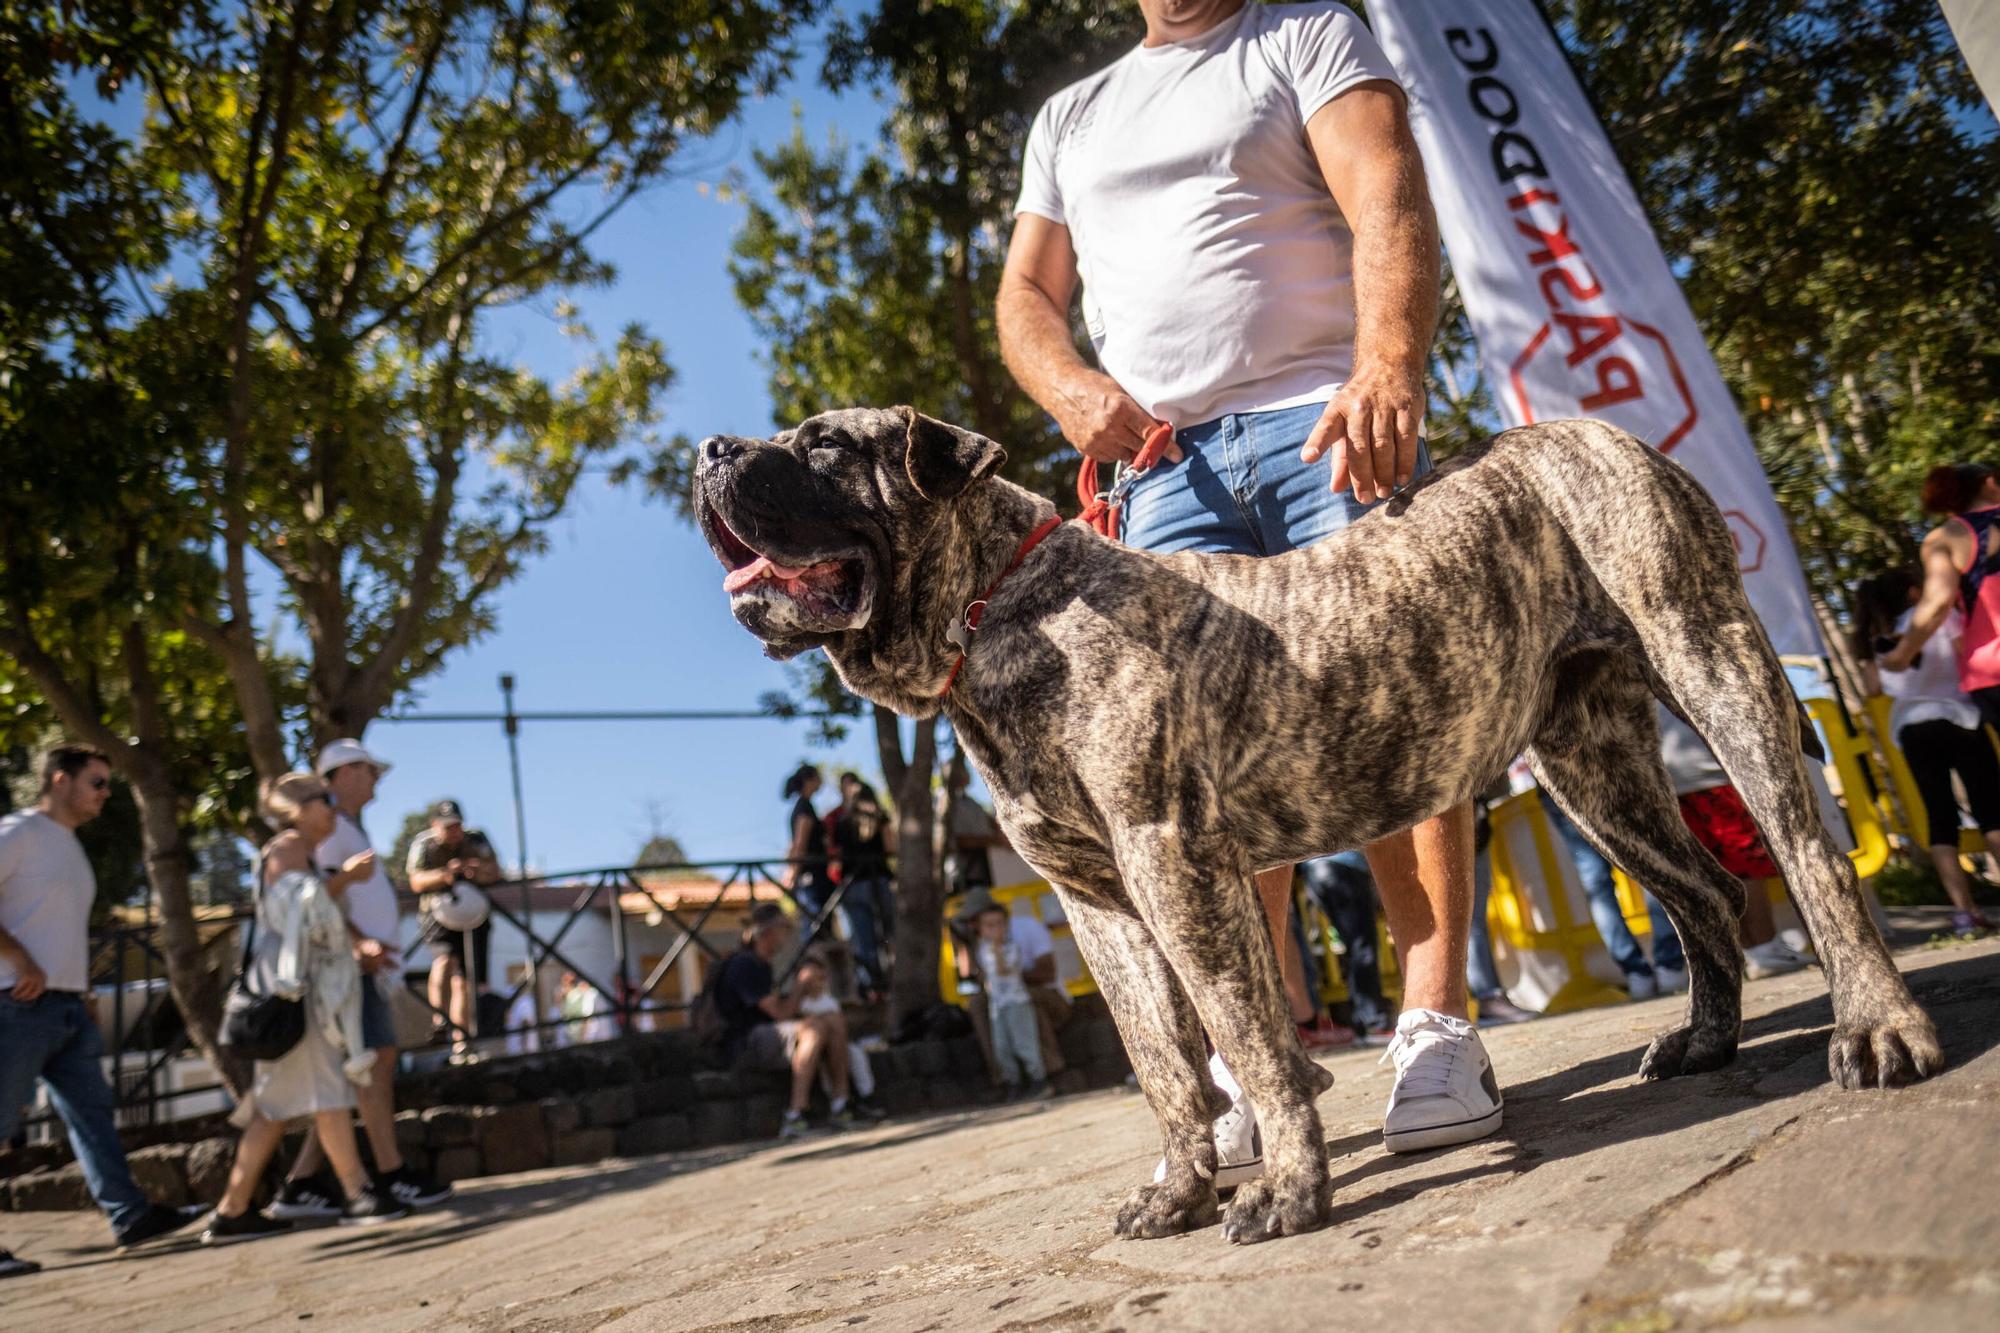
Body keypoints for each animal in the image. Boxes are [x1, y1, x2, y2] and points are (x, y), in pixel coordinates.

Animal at [696, 404, 1944, 1232]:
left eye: (825, 445)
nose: (709, 450)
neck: (993, 606)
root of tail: (1588, 430)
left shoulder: (1171, 864)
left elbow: (1249, 1041)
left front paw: (1289, 1189)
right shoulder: (1098, 903)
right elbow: (1164, 1061)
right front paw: (1181, 1188)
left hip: (1709, 661)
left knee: (1811, 860)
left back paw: (1878, 1027)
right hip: (1590, 770)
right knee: (1705, 894)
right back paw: (1703, 1039)